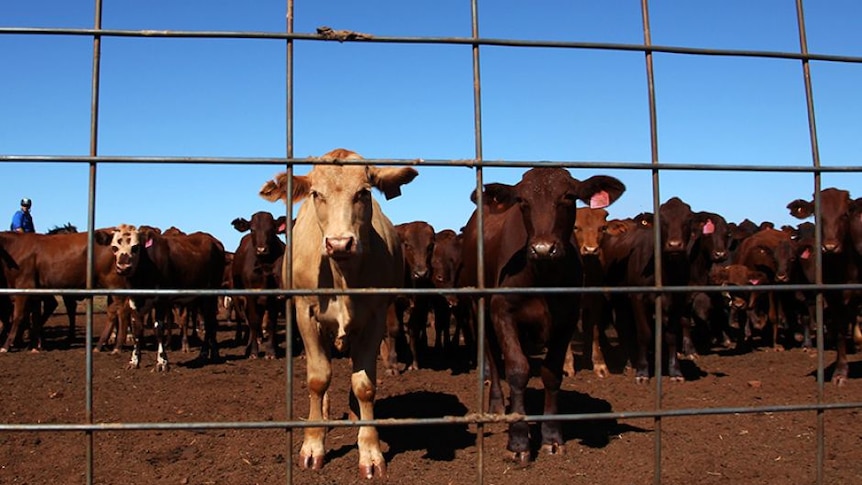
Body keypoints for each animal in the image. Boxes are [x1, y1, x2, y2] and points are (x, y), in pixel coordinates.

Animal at [94, 224, 226, 370]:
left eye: (135, 247)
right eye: (114, 247)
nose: (123, 267)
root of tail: (215, 242)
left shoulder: (161, 300)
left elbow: (159, 329)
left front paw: (162, 362)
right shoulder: (134, 300)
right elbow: (137, 329)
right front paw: (134, 361)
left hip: (210, 294)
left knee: (210, 322)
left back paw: (204, 354)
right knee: (211, 321)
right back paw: (212, 353)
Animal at [231, 210, 288, 358]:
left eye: (271, 229)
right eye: (252, 229)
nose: (261, 249)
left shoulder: (274, 298)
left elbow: (271, 323)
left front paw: (271, 351)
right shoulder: (250, 296)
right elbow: (254, 321)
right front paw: (253, 351)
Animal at [256, 147, 418, 476]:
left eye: (364, 192)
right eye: (316, 193)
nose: (340, 243)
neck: (342, 275)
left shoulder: (375, 316)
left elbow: (365, 384)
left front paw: (369, 449)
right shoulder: (305, 313)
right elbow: (319, 378)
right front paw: (313, 443)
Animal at [462, 168, 624, 464]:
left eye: (568, 196)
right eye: (522, 201)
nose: (543, 248)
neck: (542, 277)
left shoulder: (567, 318)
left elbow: (551, 373)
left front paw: (551, 437)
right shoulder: (502, 312)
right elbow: (517, 369)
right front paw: (518, 441)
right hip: (480, 308)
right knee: (493, 356)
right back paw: (496, 405)